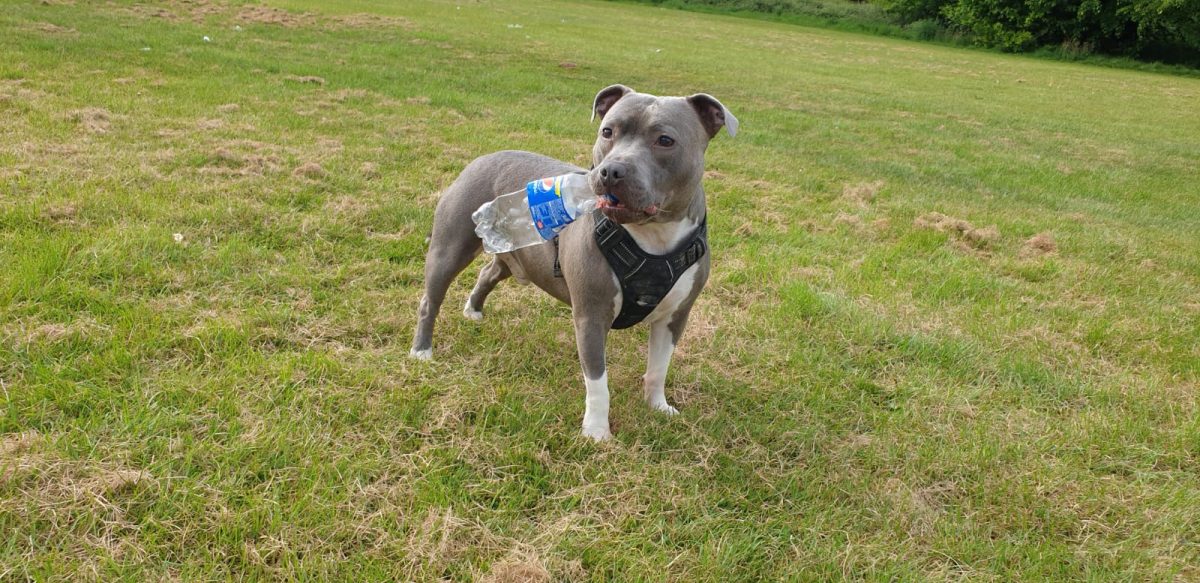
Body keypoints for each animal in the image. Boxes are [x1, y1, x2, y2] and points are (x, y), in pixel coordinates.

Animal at [408, 83, 734, 439]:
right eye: (607, 132)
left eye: (665, 140)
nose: (612, 170)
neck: (653, 238)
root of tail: (482, 158)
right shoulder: (591, 316)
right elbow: (598, 382)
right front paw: (597, 433)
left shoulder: (675, 317)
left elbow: (659, 367)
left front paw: (658, 407)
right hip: (448, 250)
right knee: (430, 301)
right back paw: (422, 351)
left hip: (513, 254)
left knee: (488, 272)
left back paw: (473, 310)